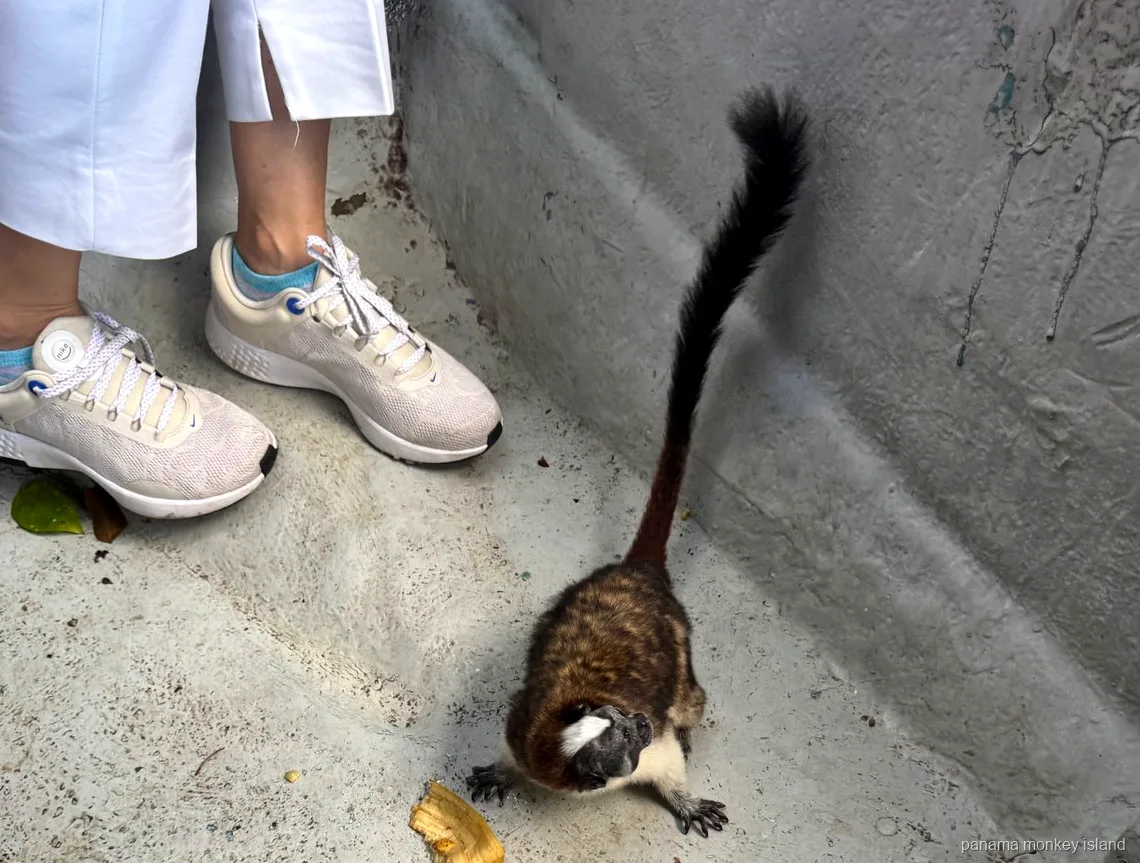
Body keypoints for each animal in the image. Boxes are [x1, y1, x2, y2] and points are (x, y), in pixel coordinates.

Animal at [465, 85, 809, 838]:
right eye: (613, 734)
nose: (639, 722)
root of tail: (637, 574)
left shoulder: (643, 744)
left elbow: (669, 764)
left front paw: (684, 797)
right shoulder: (524, 727)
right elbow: (512, 754)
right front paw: (498, 774)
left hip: (680, 648)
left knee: (693, 701)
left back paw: (690, 719)